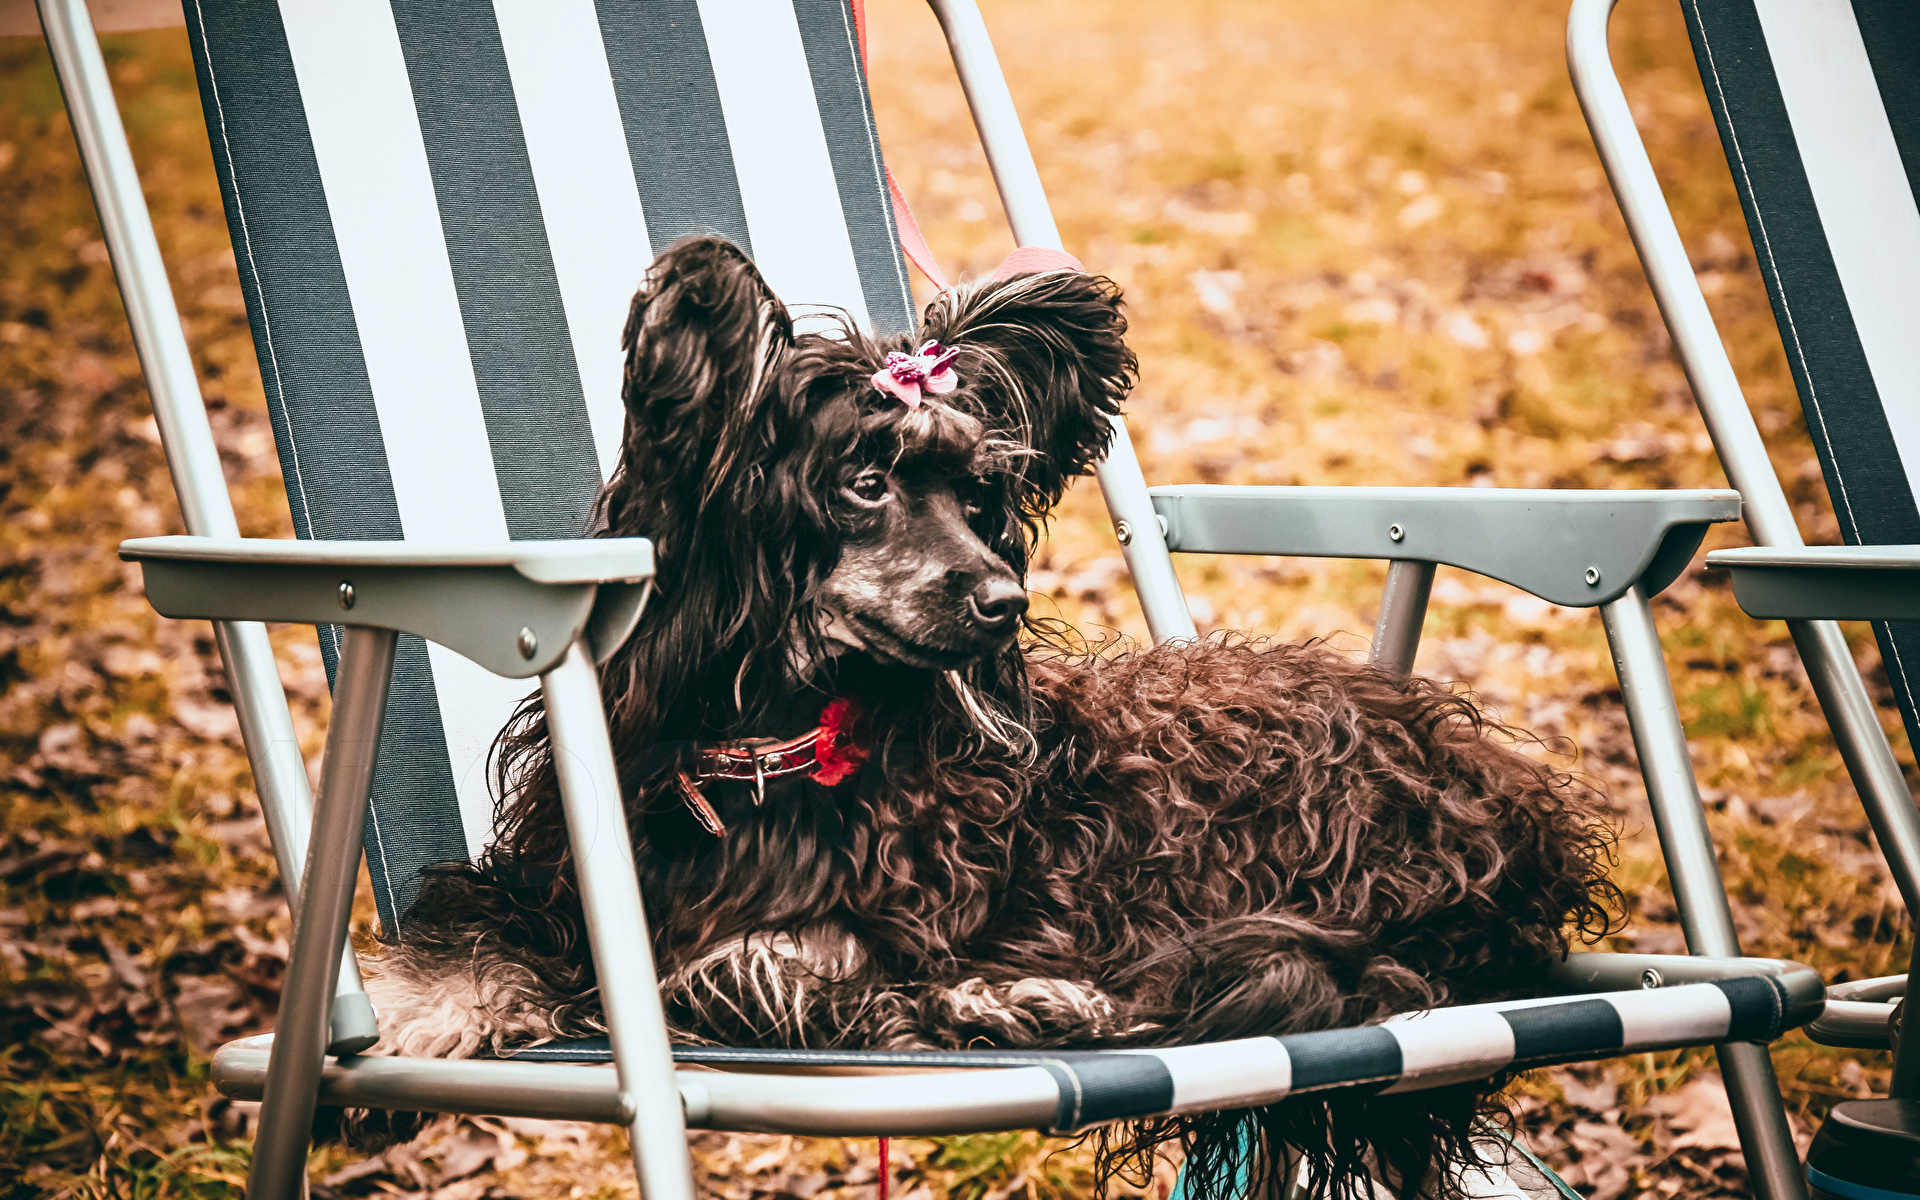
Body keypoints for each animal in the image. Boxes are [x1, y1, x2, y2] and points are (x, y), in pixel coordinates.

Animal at [362, 236, 1620, 1198]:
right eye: (865, 483)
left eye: (979, 500)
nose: (1005, 599)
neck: (775, 752)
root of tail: (1511, 816)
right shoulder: (564, 872)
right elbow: (475, 925)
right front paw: (421, 1025)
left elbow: (756, 965)